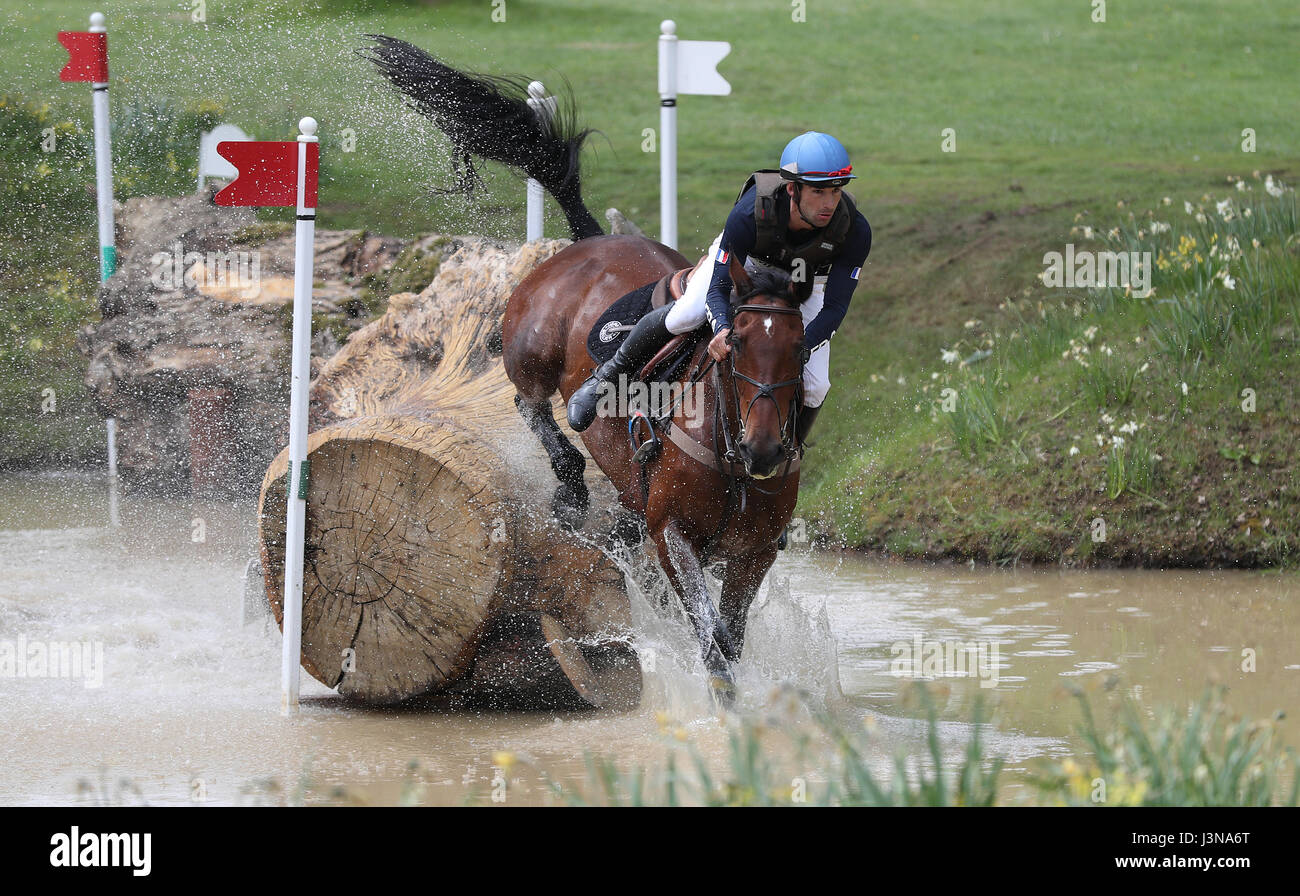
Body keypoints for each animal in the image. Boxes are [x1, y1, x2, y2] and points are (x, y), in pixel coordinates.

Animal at [366, 36, 806, 697]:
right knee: (531, 401)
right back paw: (571, 481)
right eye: (734, 349)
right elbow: (710, 641)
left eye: (800, 350)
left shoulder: (752, 552)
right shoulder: (673, 534)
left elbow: (726, 636)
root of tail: (592, 238)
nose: (764, 451)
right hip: (534, 348)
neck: (729, 452)